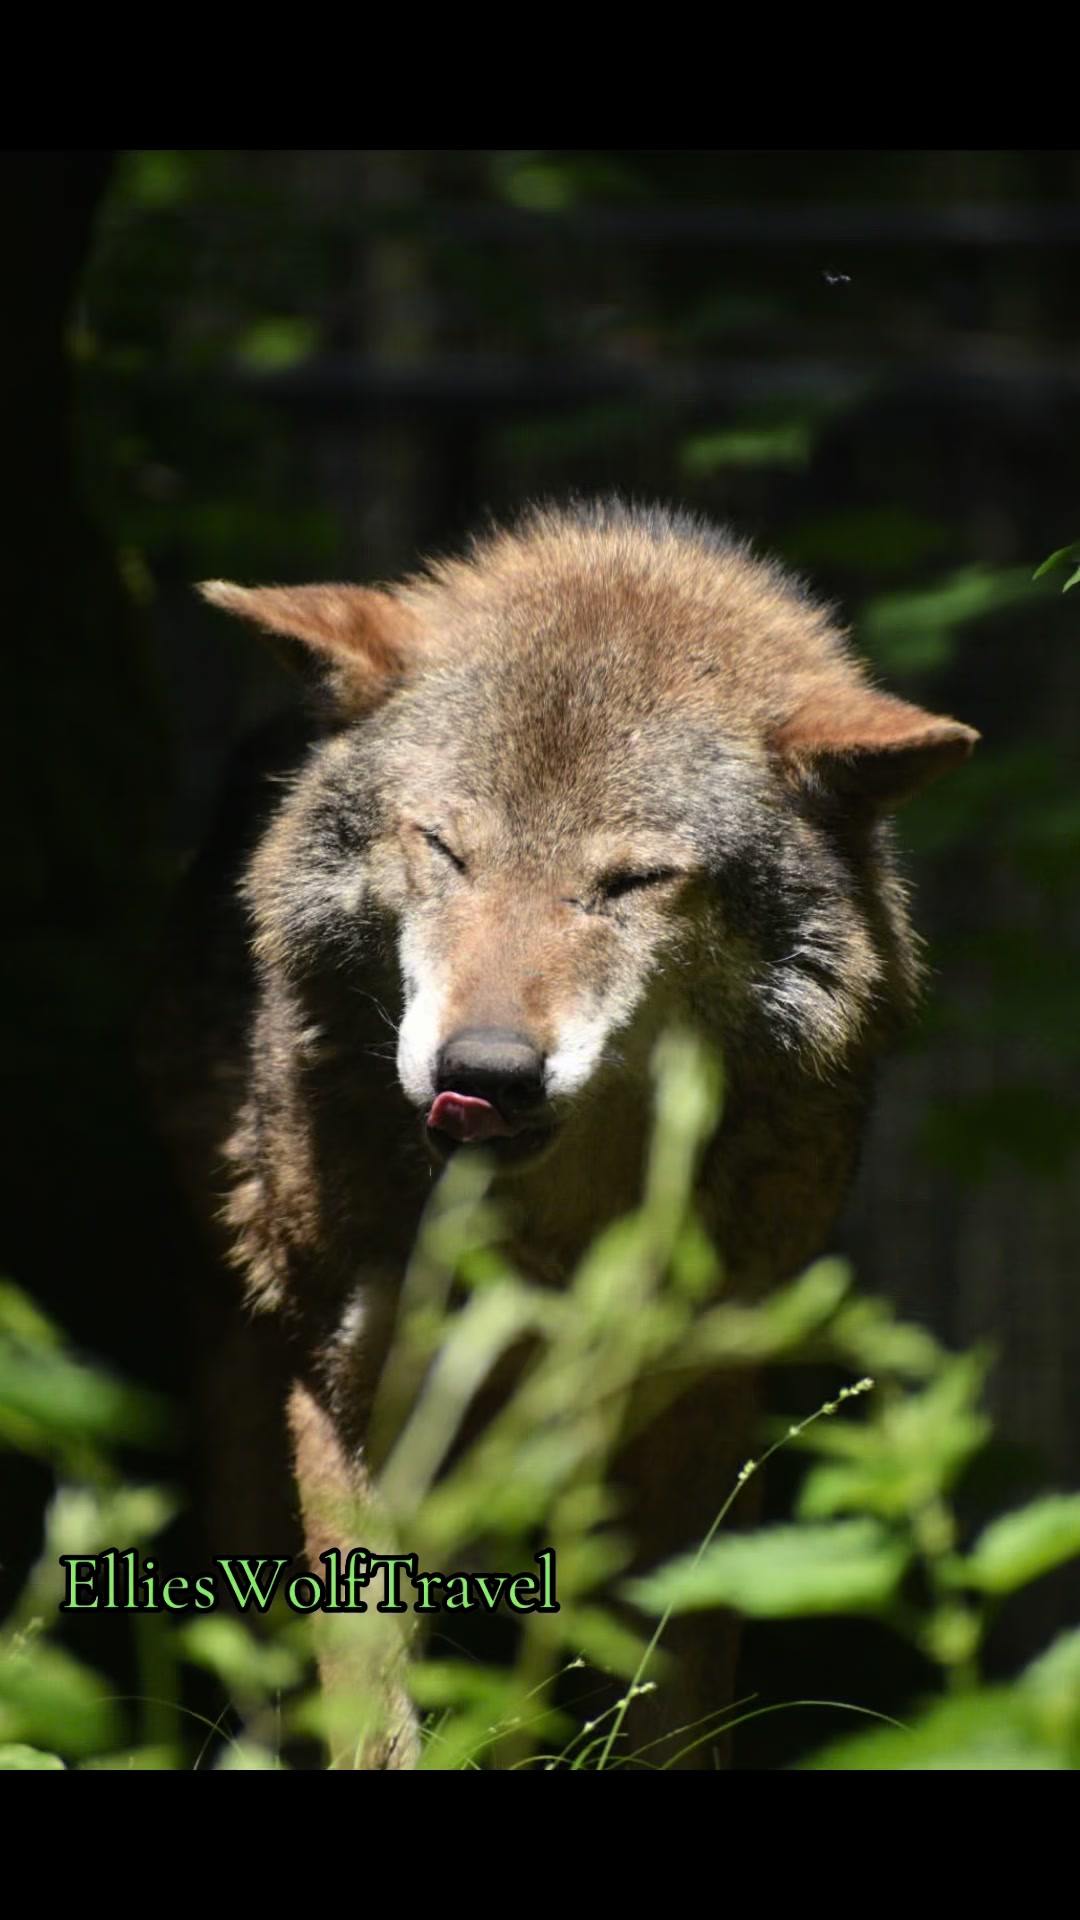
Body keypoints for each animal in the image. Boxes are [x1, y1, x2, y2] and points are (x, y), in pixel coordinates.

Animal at [151, 498, 977, 1767]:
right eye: (443, 847)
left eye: (635, 881)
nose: (482, 1073)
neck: (556, 1227)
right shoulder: (345, 1397)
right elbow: (373, 1705)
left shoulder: (699, 1409)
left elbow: (674, 1698)